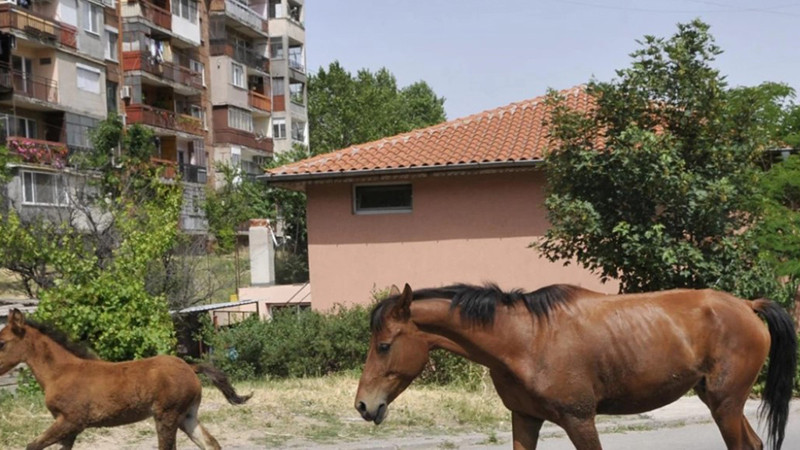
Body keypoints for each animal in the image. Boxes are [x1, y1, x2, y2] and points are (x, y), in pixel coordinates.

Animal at [0, 310, 250, 450]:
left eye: (2, 342)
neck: (61, 372)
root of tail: (189, 367)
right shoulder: (68, 428)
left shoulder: (71, 421)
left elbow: (32, 446)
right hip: (187, 416)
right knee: (211, 444)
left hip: (167, 416)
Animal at [358, 284, 800, 448]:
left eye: (383, 345)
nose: (364, 405)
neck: (528, 340)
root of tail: (746, 306)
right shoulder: (525, 419)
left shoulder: (580, 420)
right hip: (721, 403)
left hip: (725, 405)